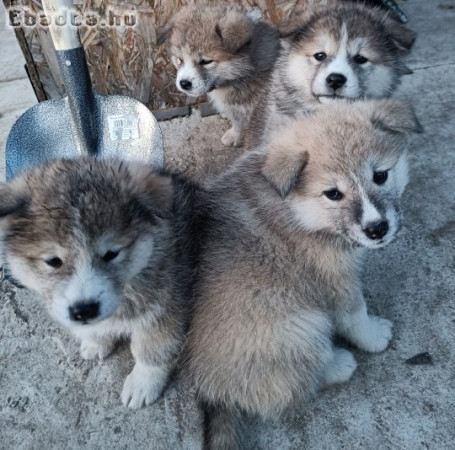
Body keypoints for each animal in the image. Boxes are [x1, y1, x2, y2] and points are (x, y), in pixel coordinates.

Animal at [0, 158, 194, 408]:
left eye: (111, 254)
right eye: (53, 261)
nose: (84, 310)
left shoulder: (166, 308)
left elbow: (152, 350)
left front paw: (143, 382)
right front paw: (96, 341)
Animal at [185, 100, 424, 448]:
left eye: (380, 175)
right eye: (333, 193)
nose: (377, 229)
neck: (298, 212)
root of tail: (215, 393)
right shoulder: (335, 280)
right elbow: (355, 316)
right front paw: (373, 337)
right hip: (301, 325)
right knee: (292, 385)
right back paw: (339, 364)